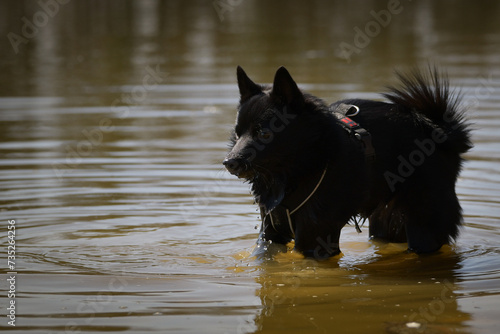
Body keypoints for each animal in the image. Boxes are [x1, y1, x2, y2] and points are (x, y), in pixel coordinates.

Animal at [223, 65, 472, 258]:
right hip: (387, 221)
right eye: (237, 133)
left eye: (264, 133)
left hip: (425, 224)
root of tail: (438, 129)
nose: (229, 162)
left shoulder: (316, 238)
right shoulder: (270, 232)